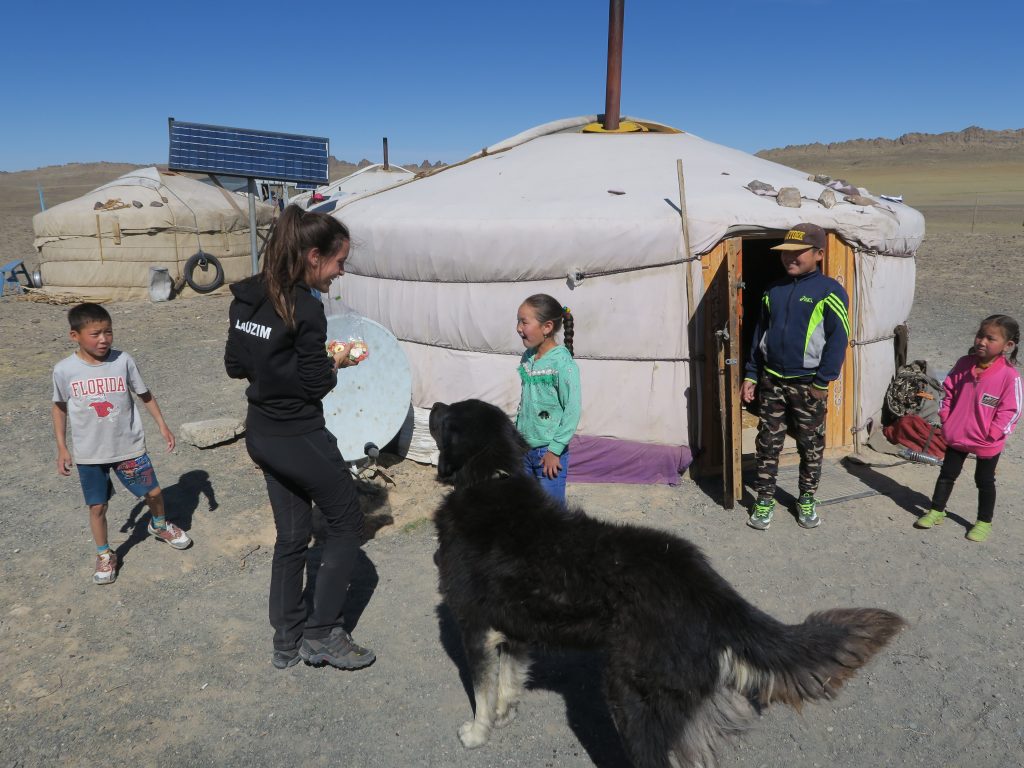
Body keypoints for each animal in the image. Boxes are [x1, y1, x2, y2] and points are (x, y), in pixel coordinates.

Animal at [430, 399, 905, 768]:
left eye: (448, 414)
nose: (430, 405)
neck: (490, 480)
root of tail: (707, 587)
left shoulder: (472, 623)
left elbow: (481, 689)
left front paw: (477, 733)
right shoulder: (512, 630)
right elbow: (507, 681)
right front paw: (505, 712)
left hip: (633, 699)